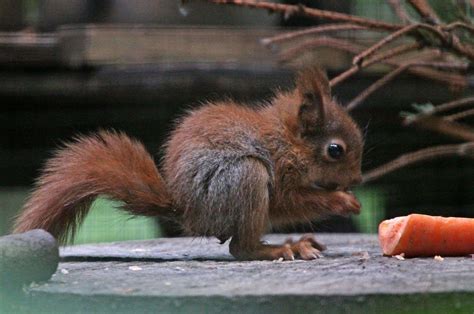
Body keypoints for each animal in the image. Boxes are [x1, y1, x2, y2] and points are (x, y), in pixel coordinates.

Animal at [13, 67, 362, 262]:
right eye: (335, 150)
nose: (357, 179)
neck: (287, 142)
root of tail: (187, 211)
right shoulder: (279, 168)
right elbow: (288, 202)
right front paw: (341, 200)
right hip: (244, 178)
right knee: (240, 248)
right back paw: (277, 249)